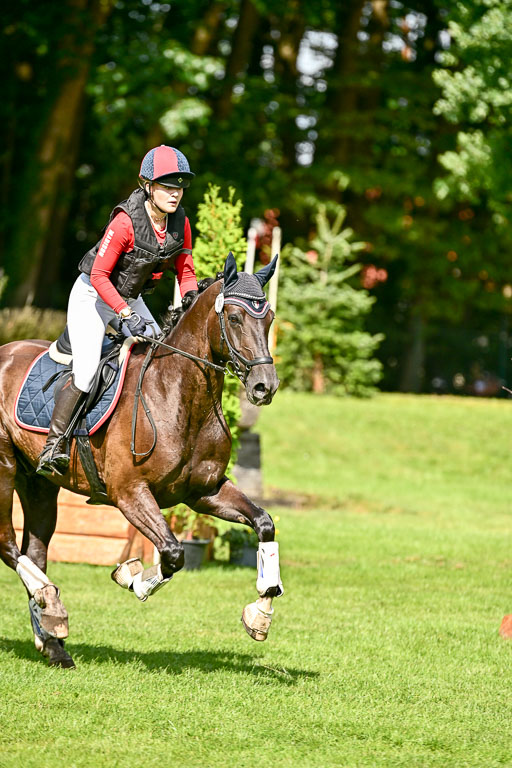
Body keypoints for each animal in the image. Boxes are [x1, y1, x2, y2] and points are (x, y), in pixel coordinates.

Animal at [0, 253, 282, 668]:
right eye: (234, 318)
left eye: (270, 317)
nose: (265, 386)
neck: (178, 393)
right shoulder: (130, 493)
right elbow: (173, 553)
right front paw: (131, 577)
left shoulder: (206, 492)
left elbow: (263, 524)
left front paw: (260, 612)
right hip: (4, 470)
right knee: (7, 544)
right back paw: (51, 604)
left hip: (38, 484)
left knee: (34, 550)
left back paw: (52, 637)